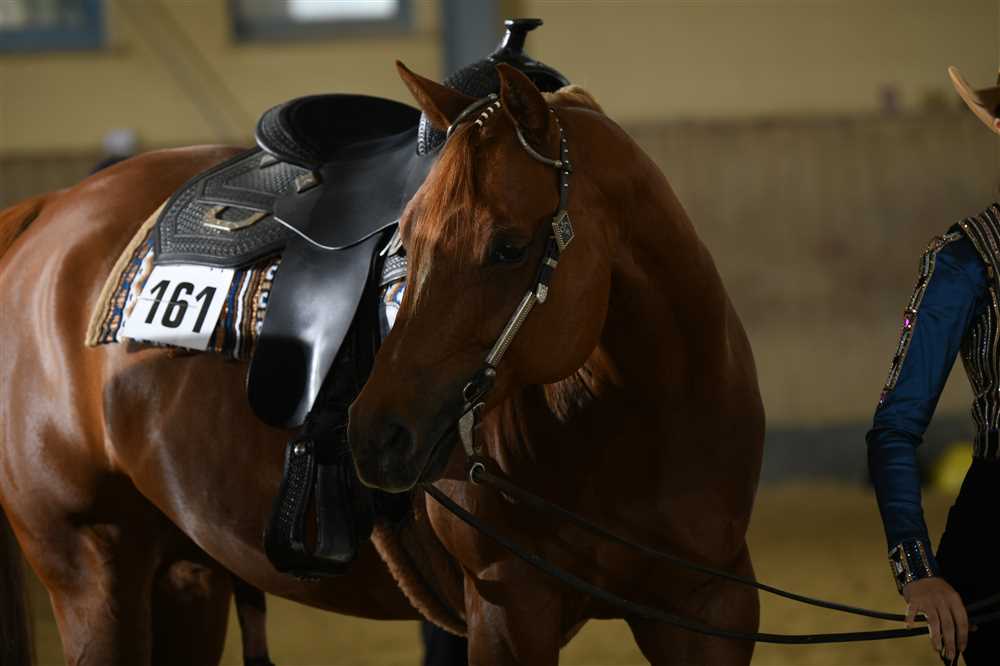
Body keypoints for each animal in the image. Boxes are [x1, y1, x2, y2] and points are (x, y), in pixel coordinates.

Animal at [0, 62, 764, 665]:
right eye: (405, 241)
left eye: (511, 247)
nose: (374, 432)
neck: (635, 425)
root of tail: (48, 209)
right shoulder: (509, 615)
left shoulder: (710, 611)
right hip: (92, 566)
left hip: (186, 575)